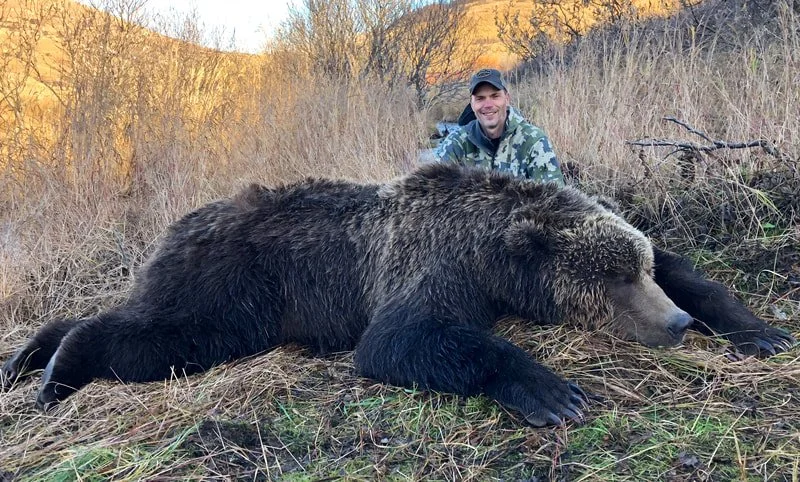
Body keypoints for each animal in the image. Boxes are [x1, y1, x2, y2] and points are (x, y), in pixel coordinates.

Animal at [1, 164, 795, 426]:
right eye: (609, 277)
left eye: (636, 266)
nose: (676, 324)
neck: (492, 251)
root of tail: (178, 223)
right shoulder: (431, 263)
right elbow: (403, 337)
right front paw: (552, 391)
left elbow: (692, 267)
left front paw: (759, 328)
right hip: (232, 291)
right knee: (160, 335)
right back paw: (56, 372)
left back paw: (27, 357)